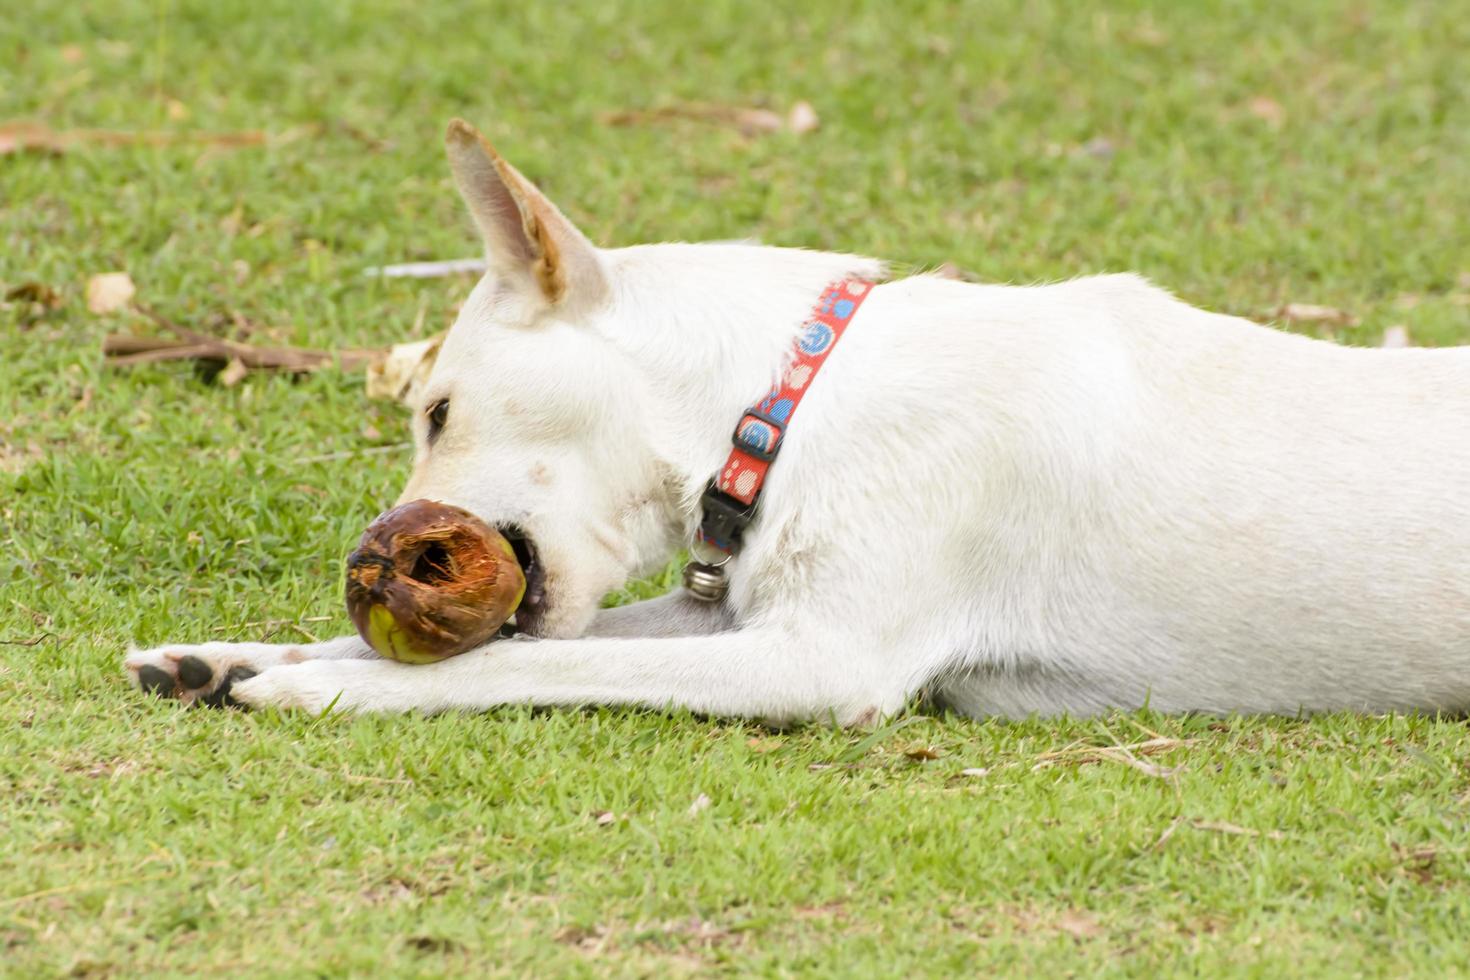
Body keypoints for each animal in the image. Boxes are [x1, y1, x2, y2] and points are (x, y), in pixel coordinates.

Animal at [126, 119, 1470, 725]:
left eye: (439, 408)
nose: (379, 552)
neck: (790, 395)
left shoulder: (821, 657)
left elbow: (521, 656)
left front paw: (323, 688)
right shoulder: (739, 611)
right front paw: (229, 657)